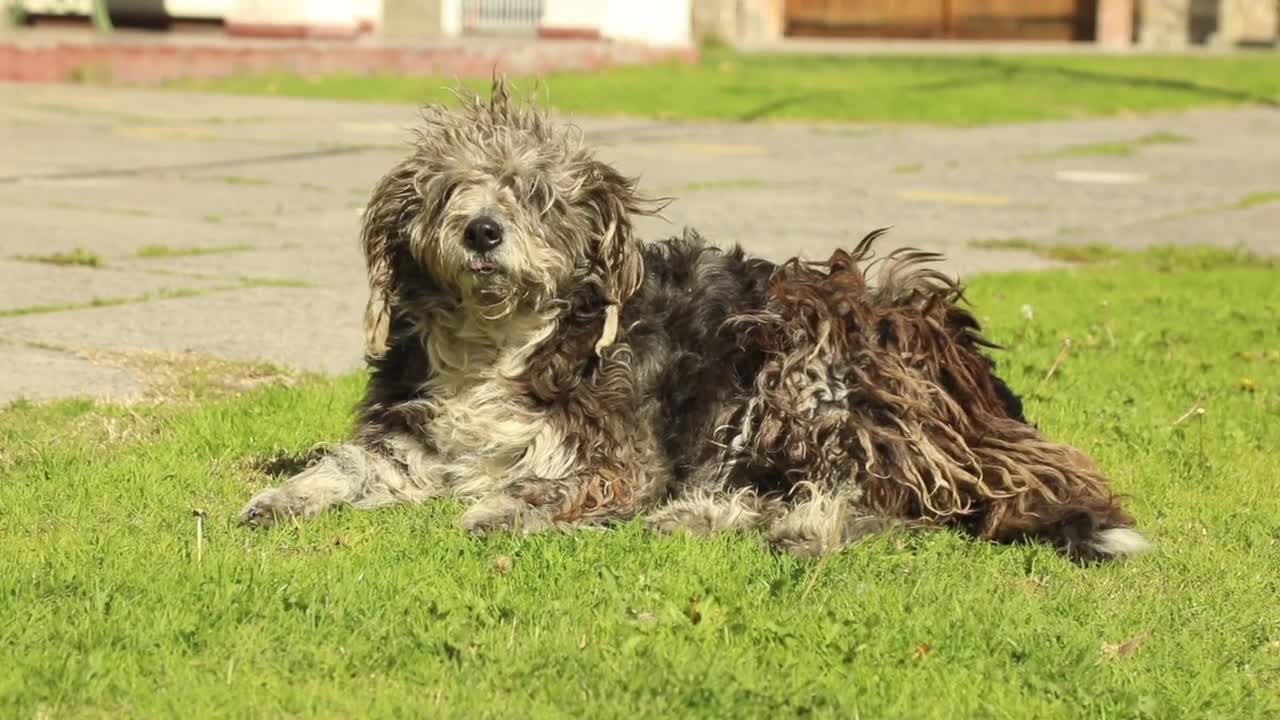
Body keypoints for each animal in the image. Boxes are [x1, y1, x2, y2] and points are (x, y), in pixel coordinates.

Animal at [238, 79, 1152, 561]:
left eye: (537, 194)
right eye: (450, 191)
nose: (483, 231)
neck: (505, 342)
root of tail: (985, 407)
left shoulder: (620, 456)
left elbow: (548, 483)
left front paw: (503, 509)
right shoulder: (415, 434)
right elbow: (347, 467)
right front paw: (282, 495)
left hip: (803, 360)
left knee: (873, 495)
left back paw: (769, 524)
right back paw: (715, 514)